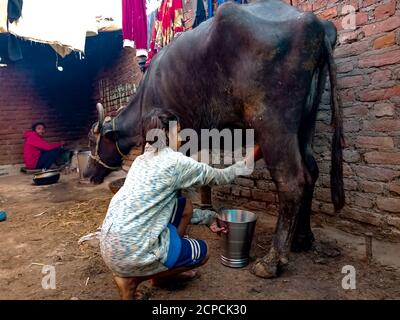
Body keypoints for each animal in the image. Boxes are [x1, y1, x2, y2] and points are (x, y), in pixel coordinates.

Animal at [83, 0, 344, 278]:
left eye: (92, 141)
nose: (87, 174)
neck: (146, 92)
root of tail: (314, 23)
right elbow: (204, 172)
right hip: (307, 121)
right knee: (312, 170)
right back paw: (302, 238)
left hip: (275, 125)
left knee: (292, 181)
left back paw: (273, 260)